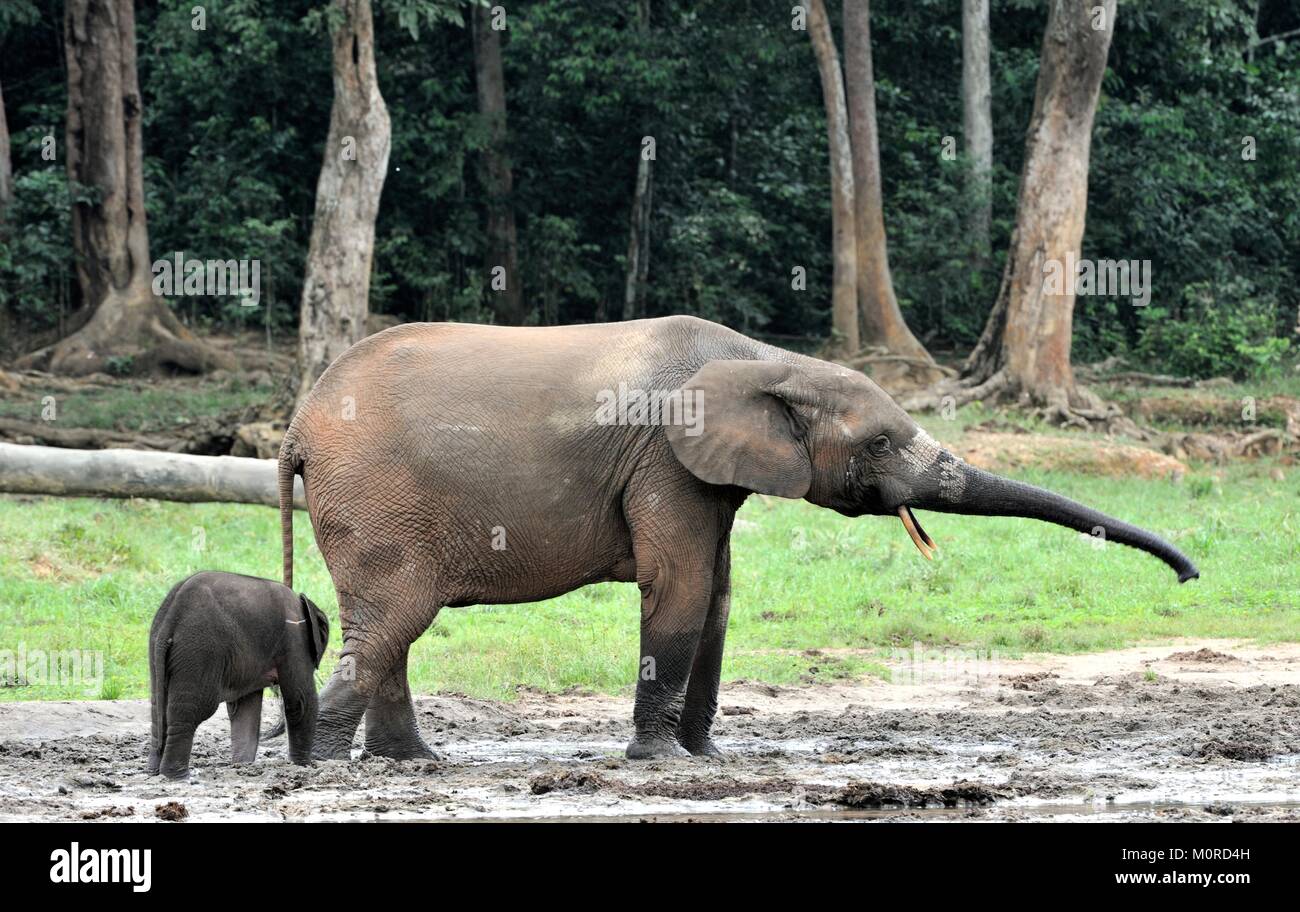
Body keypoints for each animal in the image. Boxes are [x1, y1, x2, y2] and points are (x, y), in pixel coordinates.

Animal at [147, 571, 329, 778]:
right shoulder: (295, 636)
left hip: (158, 649)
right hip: (199, 650)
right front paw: (303, 766)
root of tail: (171, 616)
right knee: (193, 711)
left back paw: (154, 771)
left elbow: (245, 708)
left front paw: (242, 766)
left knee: (159, 709)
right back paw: (178, 776)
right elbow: (300, 701)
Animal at [278, 315, 1197, 761]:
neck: (769, 359)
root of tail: (296, 427)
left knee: (393, 631)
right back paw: (319, 766)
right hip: (379, 500)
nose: (1190, 580)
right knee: (394, 621)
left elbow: (718, 597)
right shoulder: (665, 456)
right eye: (879, 444)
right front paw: (663, 764)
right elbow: (682, 590)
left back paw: (413, 765)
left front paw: (709, 756)